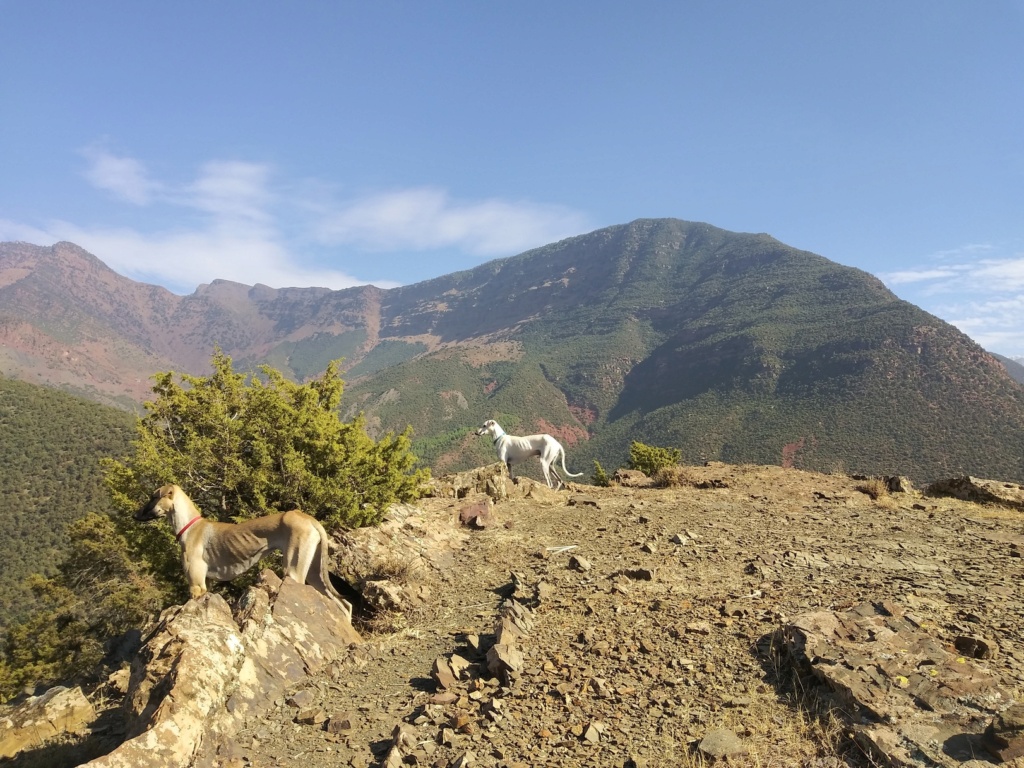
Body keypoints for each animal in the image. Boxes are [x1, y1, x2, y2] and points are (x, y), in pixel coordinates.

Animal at [136, 483, 354, 622]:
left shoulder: (197, 586)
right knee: (345, 604)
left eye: (153, 497)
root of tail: (308, 518)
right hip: (315, 573)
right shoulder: (207, 584)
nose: (135, 515)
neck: (191, 526)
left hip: (294, 572)